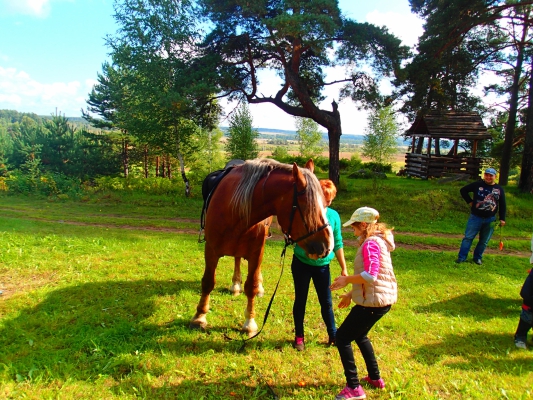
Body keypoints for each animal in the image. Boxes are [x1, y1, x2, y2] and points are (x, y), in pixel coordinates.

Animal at [190, 158, 332, 336]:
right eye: (307, 206)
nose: (327, 245)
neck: (235, 210)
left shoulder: (256, 252)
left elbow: (251, 286)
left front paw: (249, 323)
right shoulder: (211, 250)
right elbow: (208, 282)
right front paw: (199, 316)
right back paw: (235, 284)